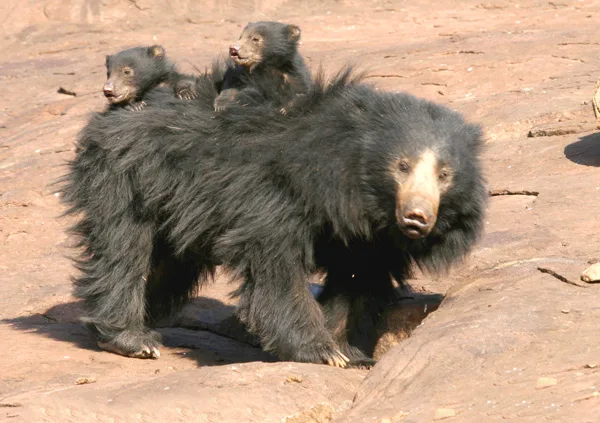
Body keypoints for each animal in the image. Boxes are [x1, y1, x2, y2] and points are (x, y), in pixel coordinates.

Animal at [61, 66, 488, 368]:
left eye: (444, 174)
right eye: (402, 165)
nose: (417, 217)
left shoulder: (368, 238)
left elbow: (356, 282)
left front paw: (349, 351)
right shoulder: (275, 193)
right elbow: (275, 264)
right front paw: (322, 351)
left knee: (169, 267)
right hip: (128, 178)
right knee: (124, 250)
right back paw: (133, 339)